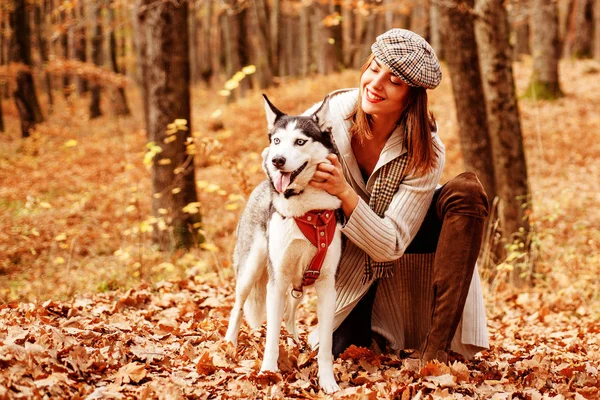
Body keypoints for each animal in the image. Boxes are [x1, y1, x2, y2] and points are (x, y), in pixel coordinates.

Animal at [225, 95, 342, 392]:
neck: (308, 211)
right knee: (238, 306)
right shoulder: (276, 282)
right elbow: (270, 339)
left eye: (300, 141)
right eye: (277, 140)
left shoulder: (327, 286)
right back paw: (229, 343)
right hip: (251, 270)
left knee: (290, 315)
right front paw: (268, 372)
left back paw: (296, 342)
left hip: (299, 284)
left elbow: (326, 345)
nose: (277, 160)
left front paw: (328, 381)